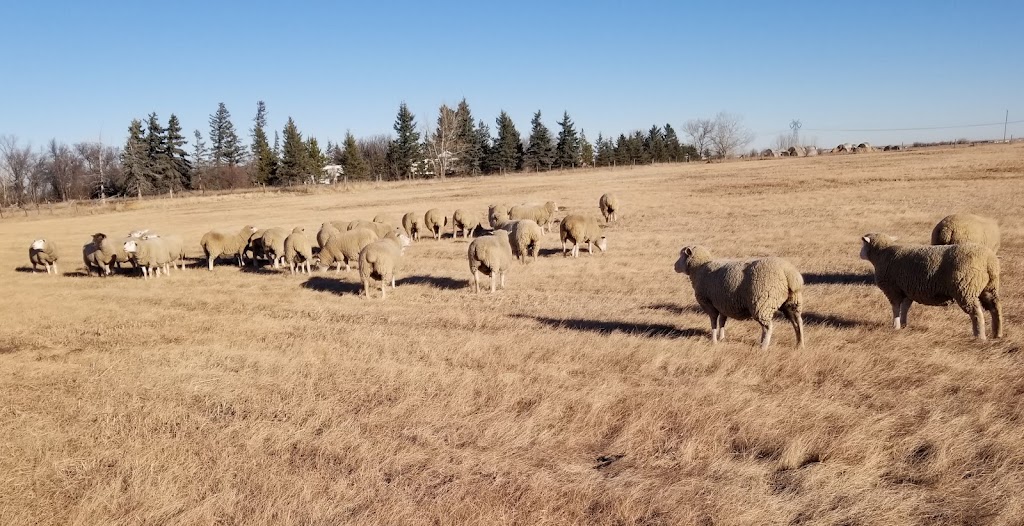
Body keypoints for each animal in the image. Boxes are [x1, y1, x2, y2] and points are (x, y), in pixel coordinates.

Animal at [674, 246, 805, 350]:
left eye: (682, 255)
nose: (674, 266)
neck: (699, 269)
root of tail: (789, 273)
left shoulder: (708, 303)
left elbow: (713, 321)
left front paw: (714, 340)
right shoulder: (722, 303)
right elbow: (722, 321)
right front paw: (721, 338)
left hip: (763, 303)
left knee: (768, 327)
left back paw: (763, 346)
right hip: (792, 302)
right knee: (797, 321)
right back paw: (799, 344)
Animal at [860, 233, 1002, 340]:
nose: (860, 254)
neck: (882, 254)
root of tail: (989, 260)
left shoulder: (893, 289)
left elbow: (895, 308)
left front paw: (896, 326)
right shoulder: (907, 289)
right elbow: (905, 308)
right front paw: (904, 325)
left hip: (965, 289)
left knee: (976, 313)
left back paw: (979, 336)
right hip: (989, 287)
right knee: (995, 308)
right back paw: (997, 333)